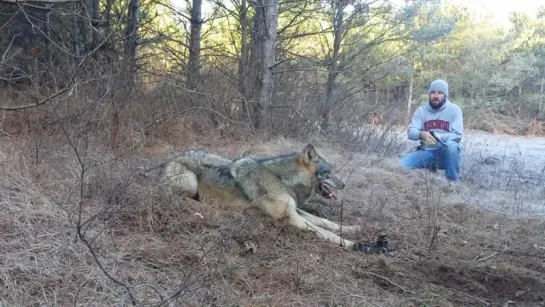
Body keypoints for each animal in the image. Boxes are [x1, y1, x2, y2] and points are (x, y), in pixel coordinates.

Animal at [159, 144, 364, 250]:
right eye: (328, 172)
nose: (344, 185)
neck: (281, 179)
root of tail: (170, 160)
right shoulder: (292, 218)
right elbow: (327, 233)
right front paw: (352, 244)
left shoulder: (295, 210)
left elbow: (327, 222)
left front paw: (352, 229)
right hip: (190, 184)